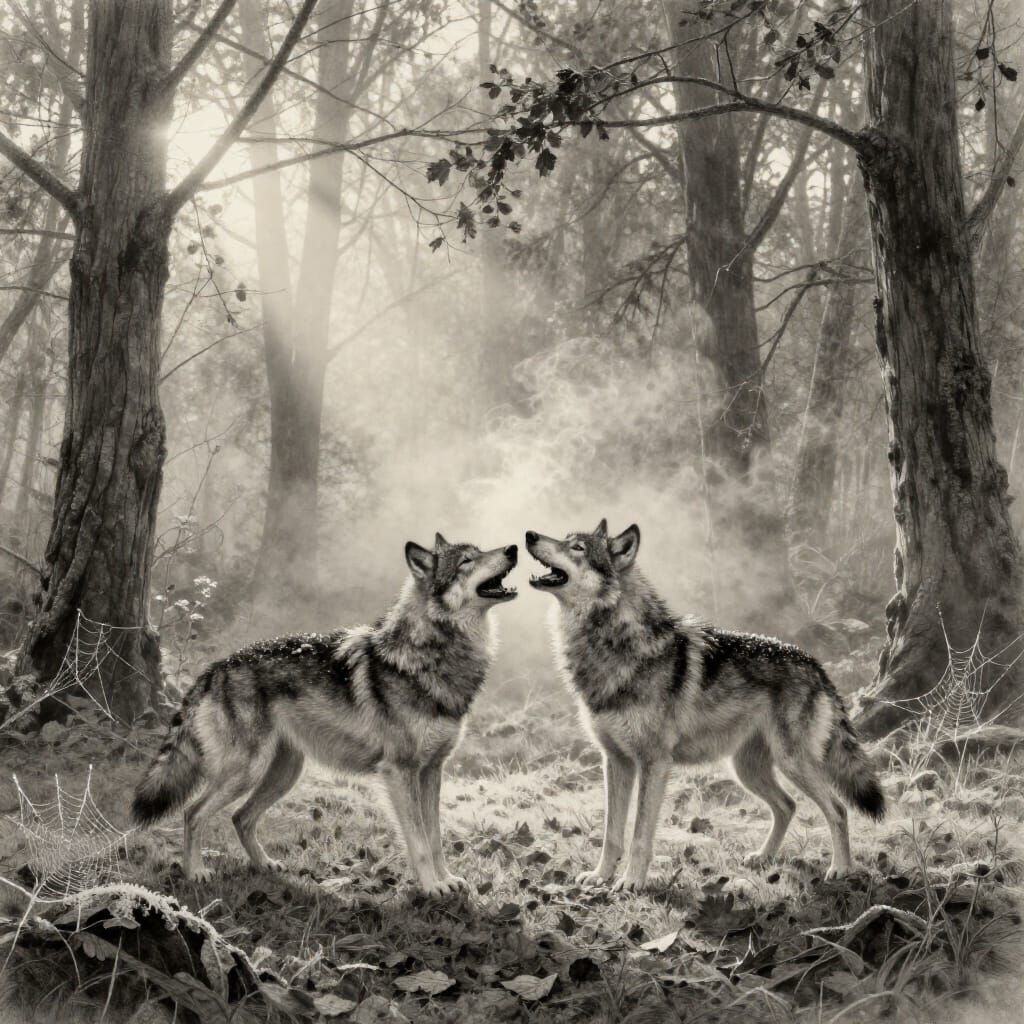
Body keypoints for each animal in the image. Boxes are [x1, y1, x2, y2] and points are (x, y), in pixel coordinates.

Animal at [132, 534, 518, 895]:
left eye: (480, 551)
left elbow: (436, 836)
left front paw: (447, 879)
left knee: (241, 817)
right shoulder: (400, 771)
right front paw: (431, 887)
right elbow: (420, 841)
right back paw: (195, 872)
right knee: (192, 812)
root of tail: (215, 668)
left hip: (285, 773)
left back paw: (265, 865)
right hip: (246, 772)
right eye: (467, 560)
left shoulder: (432, 771)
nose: (513, 548)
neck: (428, 655)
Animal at [525, 521, 884, 891]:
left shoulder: (654, 763)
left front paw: (632, 882)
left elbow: (639, 834)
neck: (616, 644)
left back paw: (840, 869)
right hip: (746, 770)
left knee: (837, 808)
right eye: (565, 539)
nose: (529, 535)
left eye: (578, 548)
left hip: (790, 762)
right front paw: (600, 876)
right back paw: (764, 857)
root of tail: (816, 665)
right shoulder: (615, 761)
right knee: (787, 806)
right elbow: (611, 833)